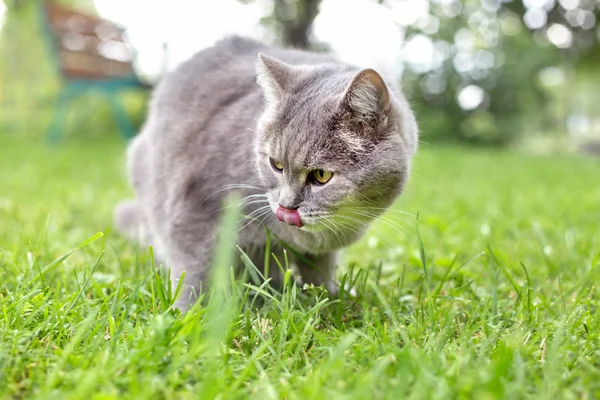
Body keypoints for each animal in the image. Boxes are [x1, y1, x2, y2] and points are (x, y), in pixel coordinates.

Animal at [113, 35, 418, 310]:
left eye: (321, 175)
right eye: (276, 165)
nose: (286, 206)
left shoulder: (322, 251)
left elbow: (320, 272)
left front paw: (329, 300)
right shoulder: (194, 206)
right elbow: (192, 273)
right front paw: (184, 315)